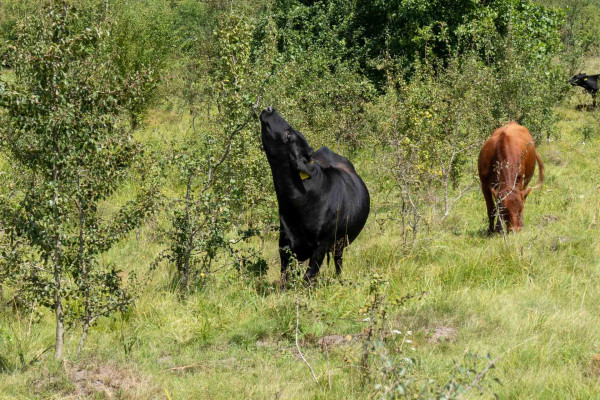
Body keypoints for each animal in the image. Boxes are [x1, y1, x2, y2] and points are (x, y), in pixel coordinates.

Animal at [258, 106, 368, 282]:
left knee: (338, 261)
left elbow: (309, 277)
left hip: (339, 244)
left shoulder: (321, 245)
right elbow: (286, 276)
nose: (270, 109)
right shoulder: (285, 244)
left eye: (288, 135)